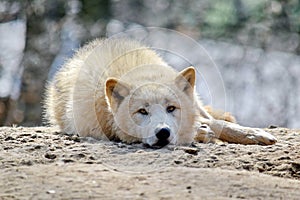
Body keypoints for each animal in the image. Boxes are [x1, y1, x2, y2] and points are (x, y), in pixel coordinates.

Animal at [44, 38, 276, 147]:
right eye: (142, 112)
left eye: (171, 108)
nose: (163, 132)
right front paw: (200, 133)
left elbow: (218, 124)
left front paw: (254, 134)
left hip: (195, 101)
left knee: (210, 118)